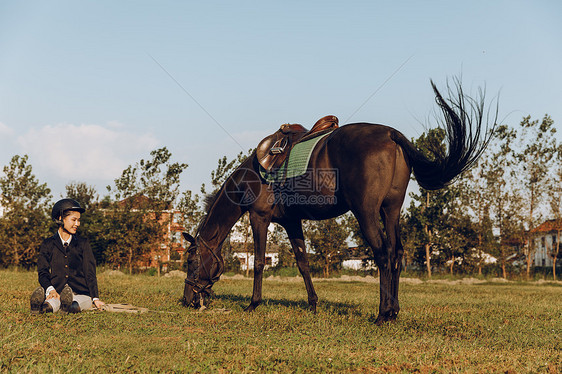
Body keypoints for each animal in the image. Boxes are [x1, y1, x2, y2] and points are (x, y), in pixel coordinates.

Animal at [182, 80, 492, 322]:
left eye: (191, 260)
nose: (188, 299)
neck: (252, 175)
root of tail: (391, 134)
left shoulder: (259, 217)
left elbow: (258, 262)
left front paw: (252, 304)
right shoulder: (292, 221)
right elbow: (303, 262)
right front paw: (313, 304)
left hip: (366, 212)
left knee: (383, 253)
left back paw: (382, 314)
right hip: (390, 210)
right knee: (397, 253)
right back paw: (394, 311)